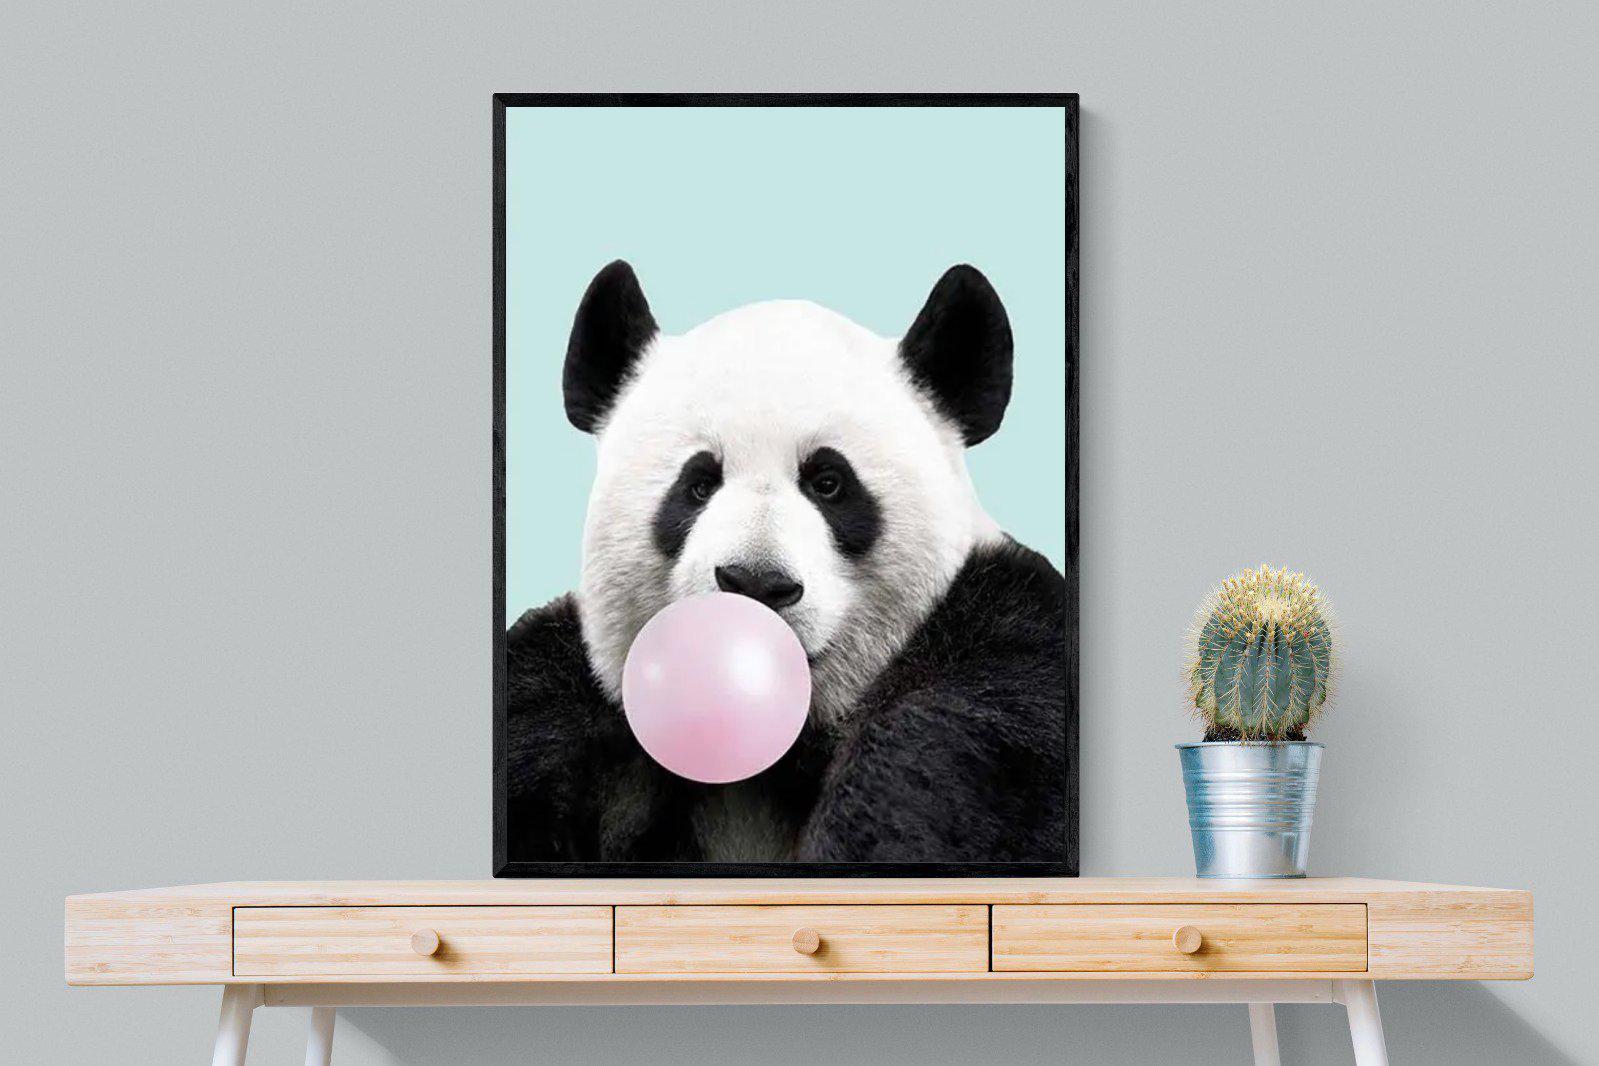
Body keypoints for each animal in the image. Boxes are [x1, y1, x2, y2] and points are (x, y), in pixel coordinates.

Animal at [505, 260, 1068, 864]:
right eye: (698, 484)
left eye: (829, 483)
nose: (755, 583)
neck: (770, 753)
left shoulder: (1005, 663)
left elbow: (943, 762)